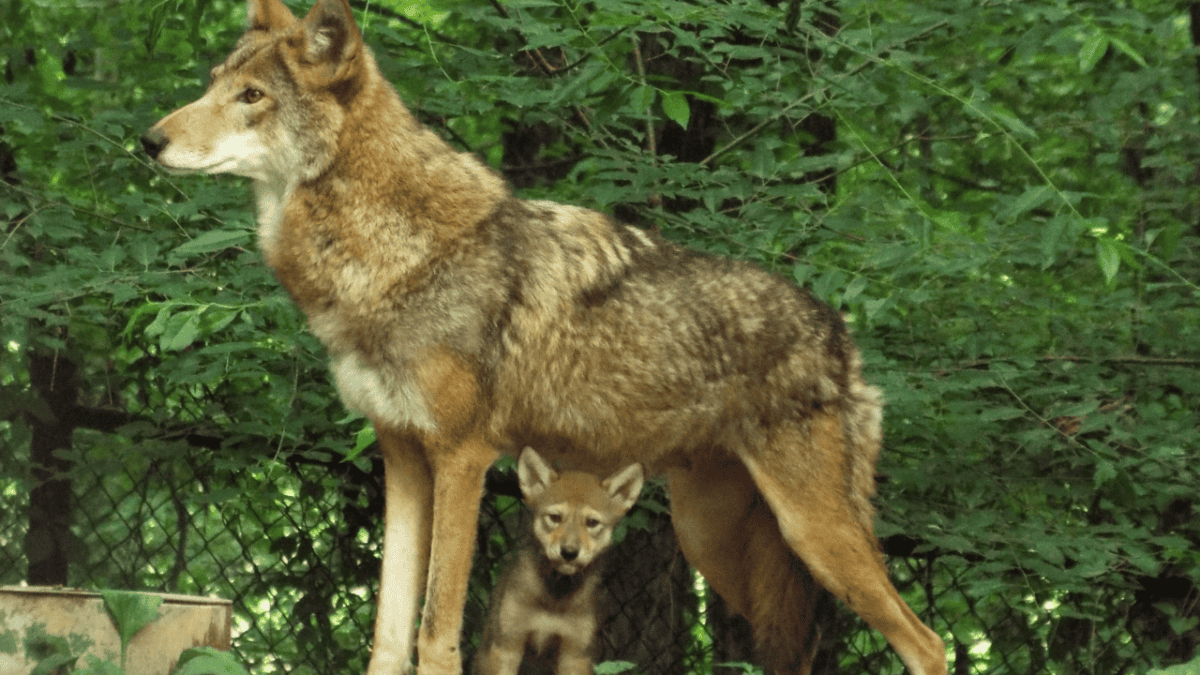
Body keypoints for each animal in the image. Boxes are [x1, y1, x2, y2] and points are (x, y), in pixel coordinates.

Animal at [475, 447, 643, 675]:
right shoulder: (508, 645)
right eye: (554, 517)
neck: (554, 599)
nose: (569, 552)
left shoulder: (574, 655)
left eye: (592, 523)